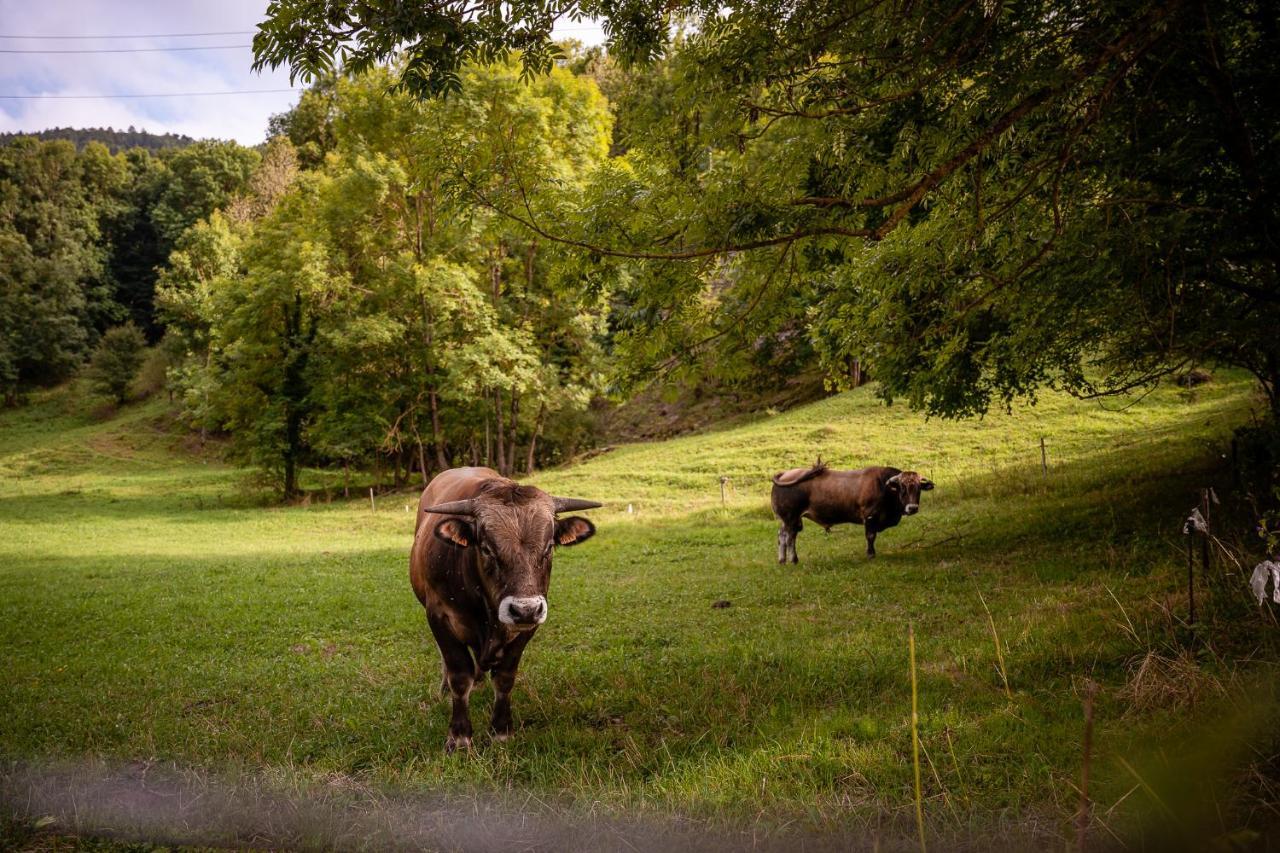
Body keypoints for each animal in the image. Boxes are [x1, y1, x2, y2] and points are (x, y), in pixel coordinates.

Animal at [414, 466, 604, 753]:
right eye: (486, 548)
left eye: (549, 546)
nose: (524, 610)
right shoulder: (439, 616)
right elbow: (459, 675)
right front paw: (459, 736)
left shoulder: (528, 624)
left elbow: (504, 677)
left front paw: (501, 731)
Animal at [762, 458, 936, 558]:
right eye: (902, 488)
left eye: (918, 489)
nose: (912, 508)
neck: (884, 486)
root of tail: (786, 473)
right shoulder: (870, 516)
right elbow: (870, 536)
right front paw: (871, 554)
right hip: (790, 518)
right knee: (788, 537)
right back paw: (791, 560)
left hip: (790, 520)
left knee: (784, 536)